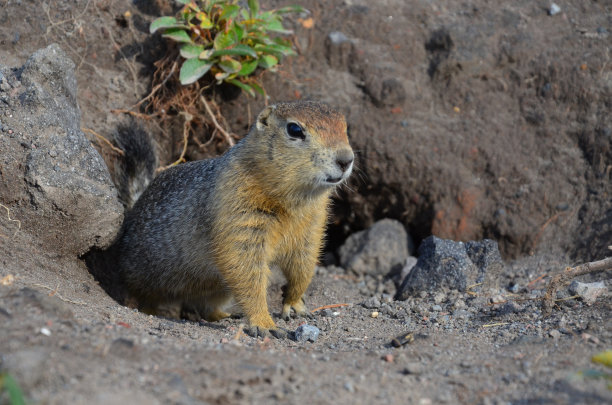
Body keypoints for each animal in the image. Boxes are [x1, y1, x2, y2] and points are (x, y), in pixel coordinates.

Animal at [115, 101, 354, 338]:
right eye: (294, 129)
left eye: (344, 126)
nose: (346, 159)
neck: (295, 201)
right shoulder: (240, 213)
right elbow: (246, 269)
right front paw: (264, 323)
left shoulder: (312, 225)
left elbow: (303, 264)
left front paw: (295, 304)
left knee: (206, 307)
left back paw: (226, 315)